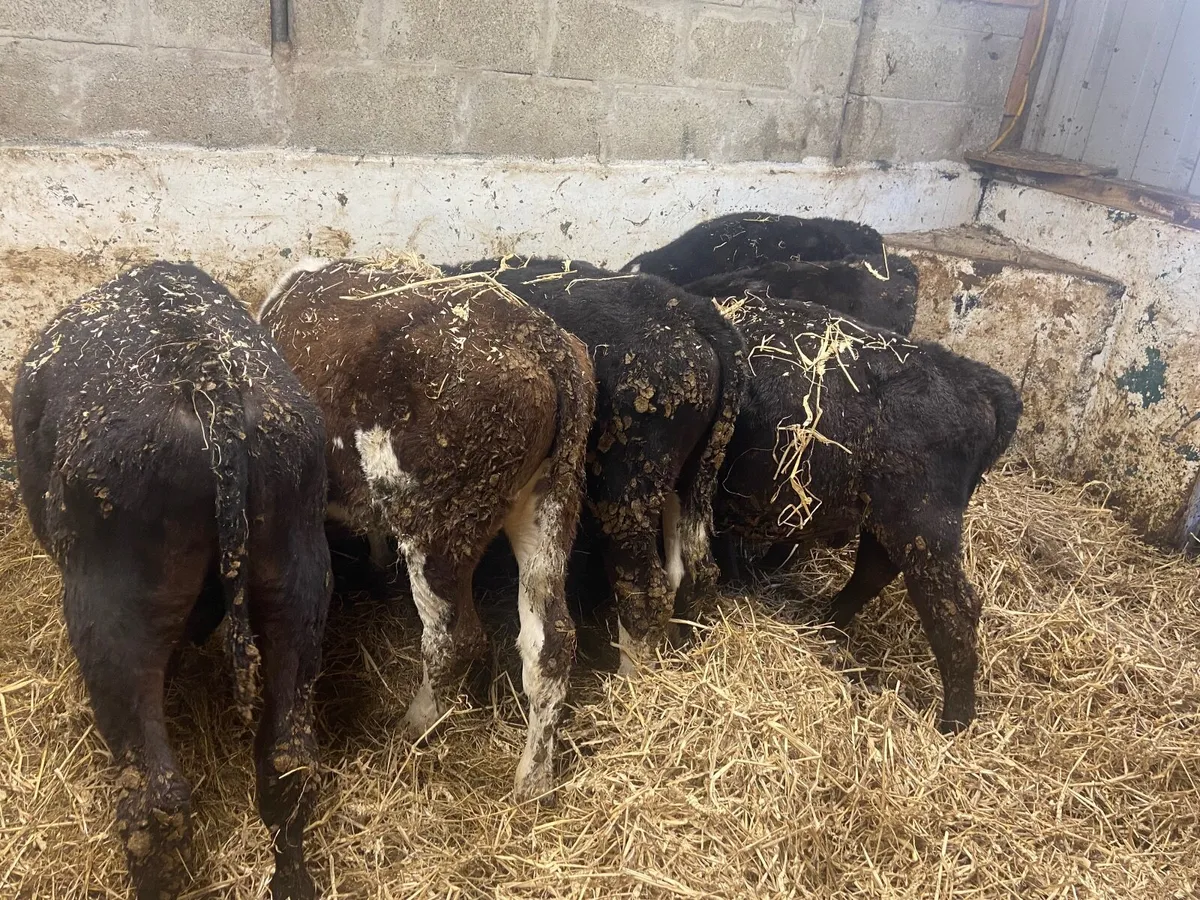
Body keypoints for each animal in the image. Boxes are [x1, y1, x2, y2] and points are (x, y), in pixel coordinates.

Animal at [11, 262, 332, 900]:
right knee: (289, 766)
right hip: (299, 591)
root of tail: (209, 385)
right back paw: (293, 879)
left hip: (112, 624)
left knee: (155, 802)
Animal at [257, 257, 594, 802]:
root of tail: (545, 346)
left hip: (439, 526)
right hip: (552, 501)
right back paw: (533, 777)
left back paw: (413, 725)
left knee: (454, 639)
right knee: (551, 642)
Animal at [444, 257, 747, 675]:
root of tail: (691, 312)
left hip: (626, 492)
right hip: (696, 471)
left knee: (644, 592)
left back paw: (629, 679)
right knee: (694, 568)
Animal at [709, 293, 1021, 733]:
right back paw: (824, 626)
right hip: (886, 519)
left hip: (922, 526)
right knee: (874, 570)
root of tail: (974, 378)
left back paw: (954, 723)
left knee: (953, 611)